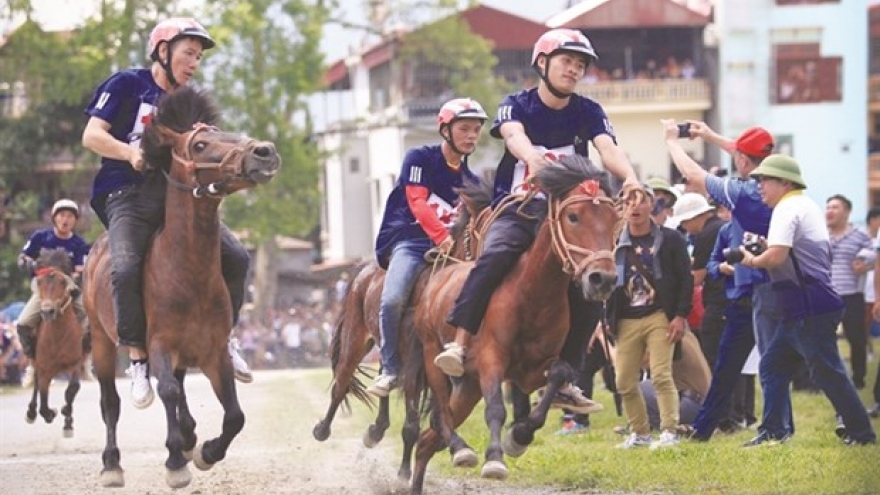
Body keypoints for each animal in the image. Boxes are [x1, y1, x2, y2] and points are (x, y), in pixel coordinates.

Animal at [25, 248, 86, 438]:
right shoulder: (45, 368)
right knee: (36, 385)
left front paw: (67, 419)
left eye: (62, 282)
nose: (47, 311)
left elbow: (72, 390)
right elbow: (43, 400)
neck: (58, 334)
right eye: (40, 282)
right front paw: (51, 413)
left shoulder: (75, 363)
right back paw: (31, 413)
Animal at [84, 87, 280, 490]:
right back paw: (112, 464)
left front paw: (205, 451)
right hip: (101, 341)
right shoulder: (160, 344)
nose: (264, 151)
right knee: (112, 401)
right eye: (201, 143)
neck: (188, 273)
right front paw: (175, 462)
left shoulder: (213, 352)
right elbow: (168, 392)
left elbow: (234, 415)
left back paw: (189, 437)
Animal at [312, 178, 496, 480]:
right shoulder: (417, 359)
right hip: (356, 338)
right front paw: (404, 473)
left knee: (384, 376)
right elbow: (412, 421)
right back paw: (322, 429)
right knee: (341, 382)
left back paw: (376, 429)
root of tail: (364, 270)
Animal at [404, 156, 620, 495]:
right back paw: (461, 448)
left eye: (613, 219)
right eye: (573, 216)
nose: (603, 279)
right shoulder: (493, 358)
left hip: (467, 388)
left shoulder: (534, 369)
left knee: (427, 441)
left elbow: (553, 382)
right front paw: (495, 459)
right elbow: (497, 408)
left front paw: (519, 437)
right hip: (434, 359)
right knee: (440, 416)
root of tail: (436, 279)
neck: (533, 294)